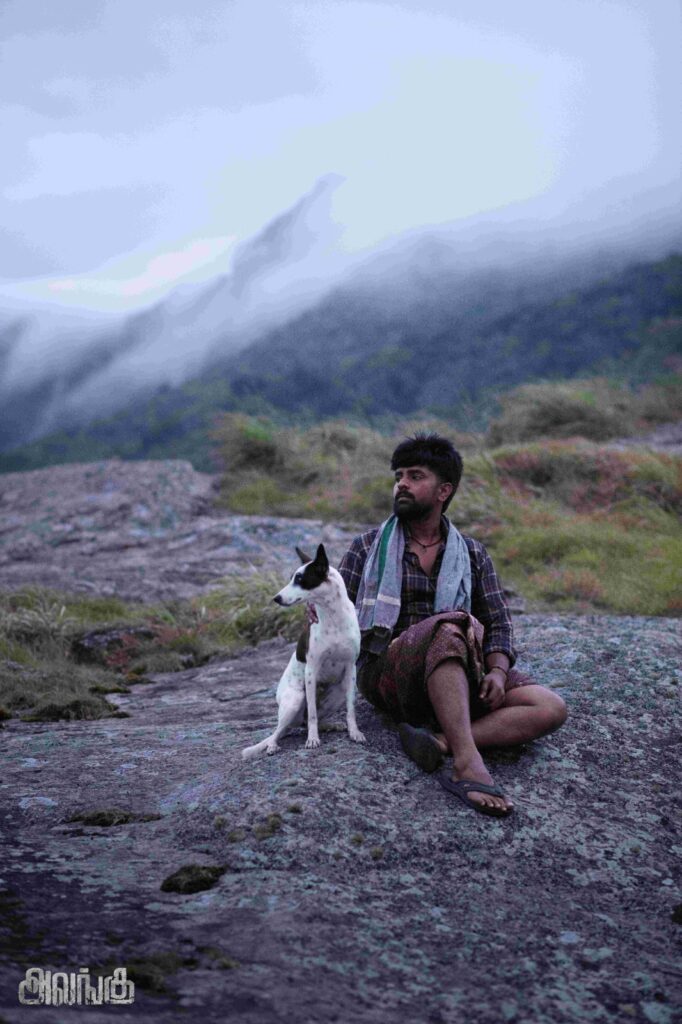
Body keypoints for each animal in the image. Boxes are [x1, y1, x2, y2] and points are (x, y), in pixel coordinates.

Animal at [241, 543, 365, 758]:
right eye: (292, 578)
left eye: (300, 579)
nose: (276, 598)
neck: (333, 617)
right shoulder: (311, 670)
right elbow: (313, 714)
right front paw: (313, 739)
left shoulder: (351, 669)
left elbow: (351, 710)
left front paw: (354, 732)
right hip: (295, 700)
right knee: (280, 730)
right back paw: (272, 745)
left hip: (339, 689)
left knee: (307, 721)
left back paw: (330, 725)